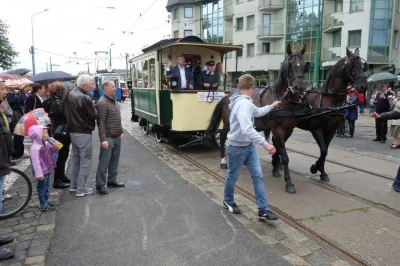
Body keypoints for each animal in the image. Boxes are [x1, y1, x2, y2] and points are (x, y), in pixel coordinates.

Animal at [208, 43, 310, 193]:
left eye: (304, 65)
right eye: (289, 65)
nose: (299, 88)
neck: (284, 100)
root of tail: (228, 95)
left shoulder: (288, 130)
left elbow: (278, 149)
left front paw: (275, 168)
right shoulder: (278, 129)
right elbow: (285, 156)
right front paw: (289, 182)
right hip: (227, 123)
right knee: (222, 137)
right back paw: (223, 161)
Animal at [268, 47, 368, 184]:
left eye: (363, 66)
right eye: (352, 65)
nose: (364, 86)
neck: (329, 99)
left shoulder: (332, 130)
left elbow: (325, 151)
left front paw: (322, 172)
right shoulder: (316, 129)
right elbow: (323, 150)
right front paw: (315, 168)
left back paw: (277, 164)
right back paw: (277, 164)